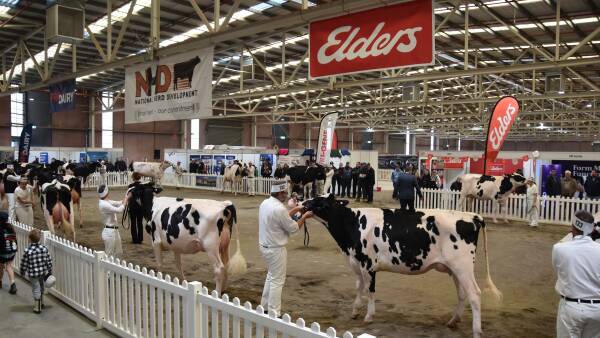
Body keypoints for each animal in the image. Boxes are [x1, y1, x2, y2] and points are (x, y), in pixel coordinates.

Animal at [304, 195, 502, 338]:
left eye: (317, 202)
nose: (300, 201)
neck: (353, 225)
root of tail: (473, 216)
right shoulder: (357, 264)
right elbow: (359, 287)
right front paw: (354, 311)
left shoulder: (368, 265)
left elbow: (370, 291)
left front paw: (368, 316)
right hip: (455, 269)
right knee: (462, 294)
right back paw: (453, 321)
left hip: (463, 266)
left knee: (474, 294)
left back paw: (476, 331)